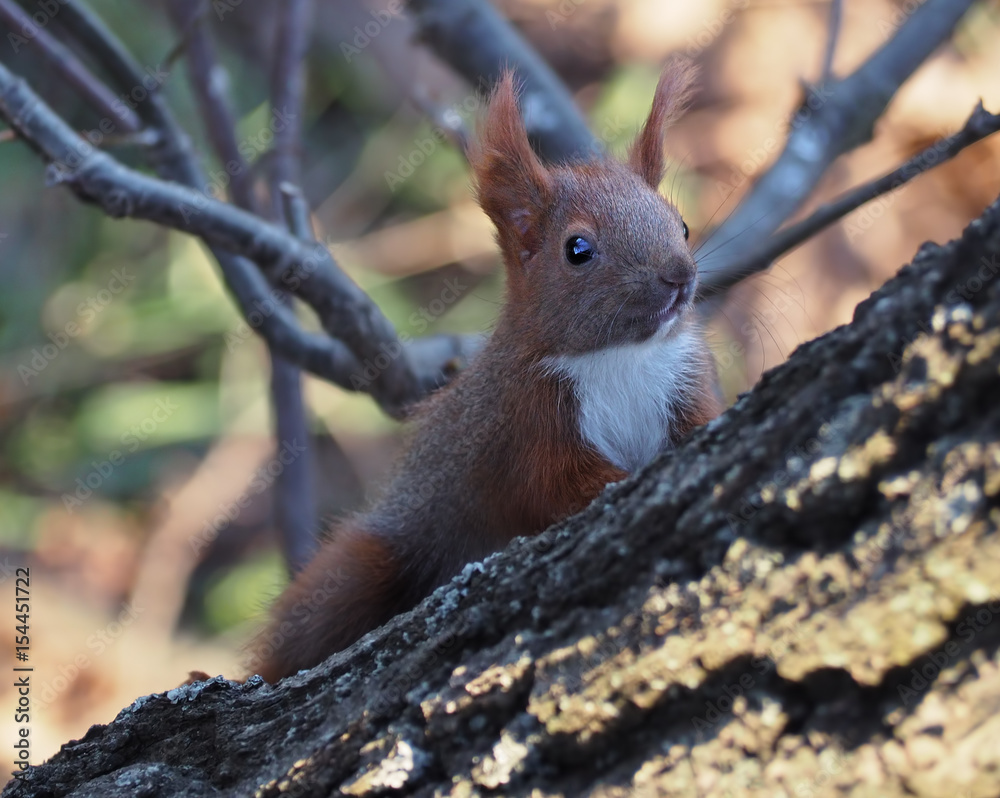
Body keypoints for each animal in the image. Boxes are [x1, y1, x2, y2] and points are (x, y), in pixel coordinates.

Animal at [250, 62, 721, 682]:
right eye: (577, 249)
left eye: (682, 224)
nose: (678, 277)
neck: (620, 356)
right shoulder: (527, 421)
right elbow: (556, 484)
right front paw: (616, 482)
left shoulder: (684, 381)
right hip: (373, 560)